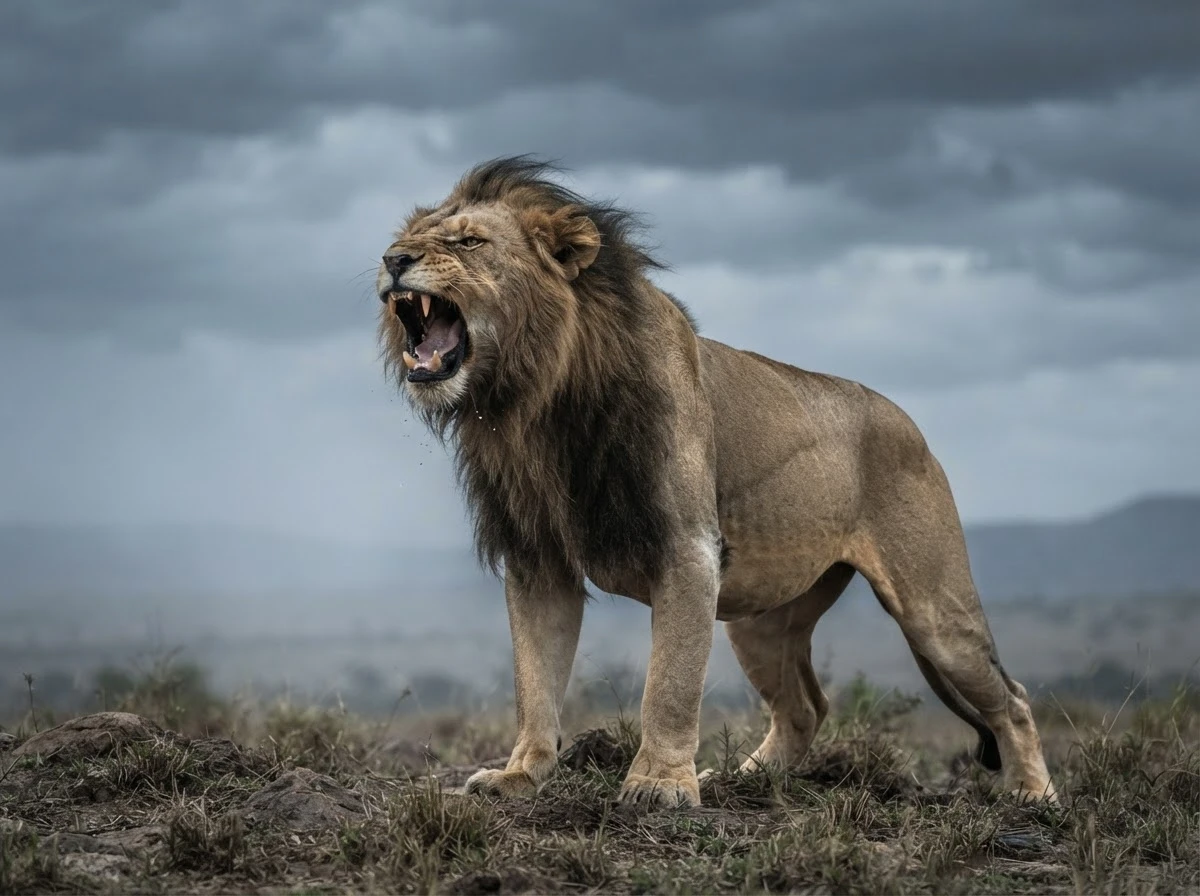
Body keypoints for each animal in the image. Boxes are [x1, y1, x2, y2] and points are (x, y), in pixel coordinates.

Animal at [375, 157, 1057, 808]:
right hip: (760, 620)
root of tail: (911, 425)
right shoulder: (537, 558)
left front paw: (659, 786)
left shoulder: (688, 549)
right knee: (805, 708)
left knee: (1014, 699)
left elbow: (670, 684)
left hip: (934, 611)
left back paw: (1034, 796)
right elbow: (535, 681)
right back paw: (742, 779)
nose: (392, 260)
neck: (535, 399)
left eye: (469, 242)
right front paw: (520, 775)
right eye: (407, 239)